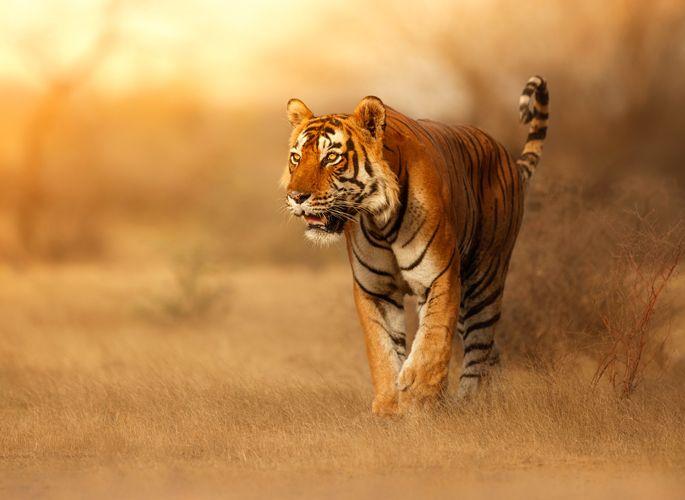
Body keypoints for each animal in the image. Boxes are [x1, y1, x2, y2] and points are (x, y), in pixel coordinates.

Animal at [282, 76, 549, 415]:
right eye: (296, 157)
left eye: (331, 157)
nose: (296, 196)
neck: (380, 220)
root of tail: (508, 158)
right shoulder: (375, 289)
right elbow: (382, 349)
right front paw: (388, 406)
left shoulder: (439, 276)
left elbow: (432, 340)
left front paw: (419, 396)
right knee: (491, 350)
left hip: (484, 280)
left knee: (479, 345)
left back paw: (469, 403)